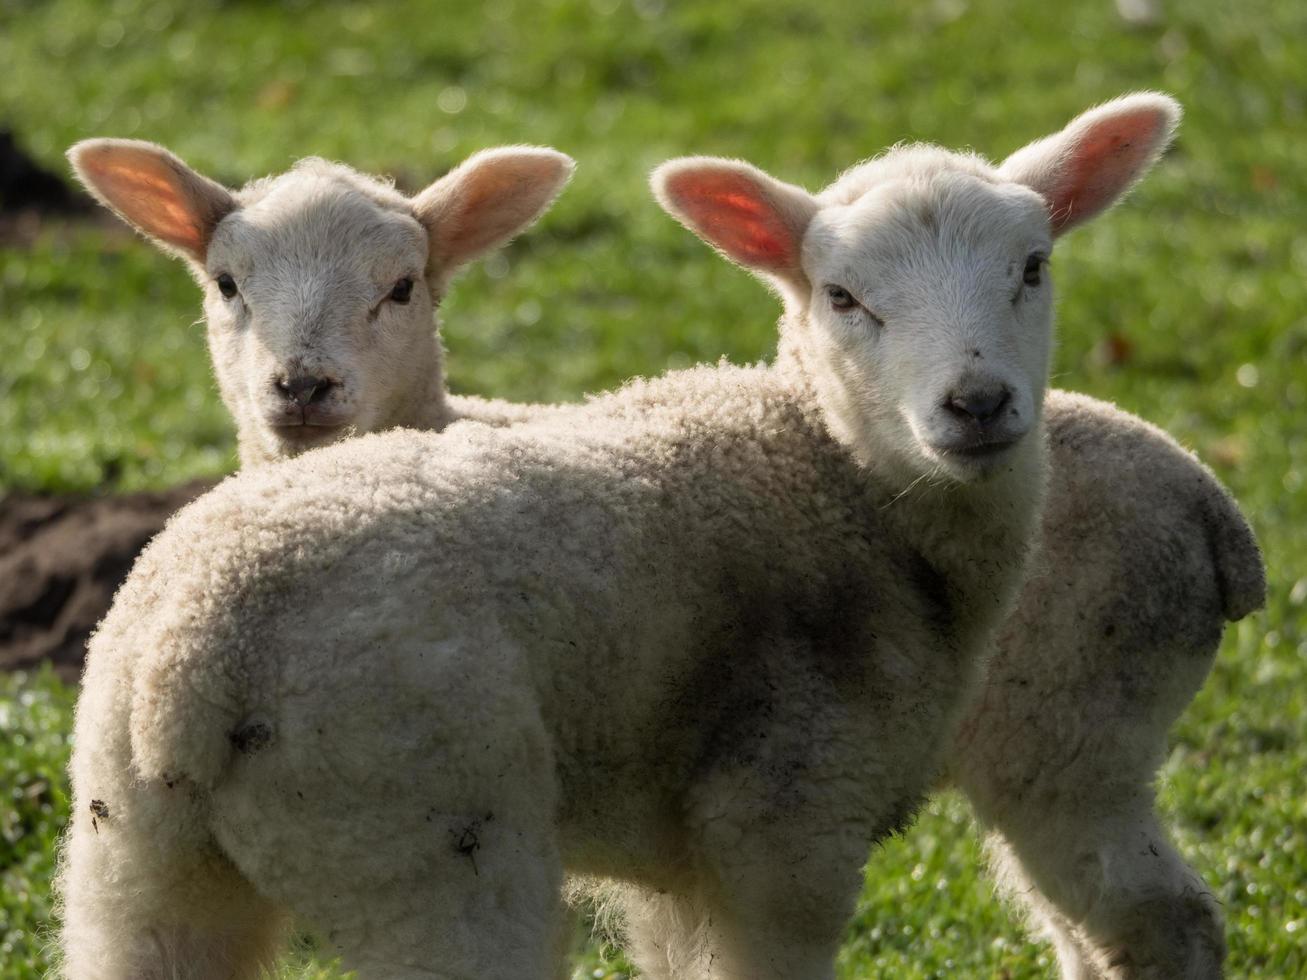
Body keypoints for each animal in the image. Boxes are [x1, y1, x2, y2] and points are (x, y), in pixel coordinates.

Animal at [58, 96, 1186, 977]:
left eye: (1032, 267)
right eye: (843, 297)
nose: (977, 403)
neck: (832, 474)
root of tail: (192, 663)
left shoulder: (687, 861)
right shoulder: (784, 821)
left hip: (132, 864)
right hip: (424, 835)